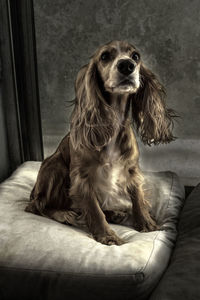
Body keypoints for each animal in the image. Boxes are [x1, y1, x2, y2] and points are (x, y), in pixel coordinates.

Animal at [24, 40, 175, 246]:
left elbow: (137, 197)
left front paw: (146, 223)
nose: (127, 65)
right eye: (105, 56)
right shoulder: (82, 177)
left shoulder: (131, 170)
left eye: (136, 56)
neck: (113, 121)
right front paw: (108, 236)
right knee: (37, 205)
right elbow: (94, 209)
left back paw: (114, 213)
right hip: (55, 166)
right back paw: (64, 214)